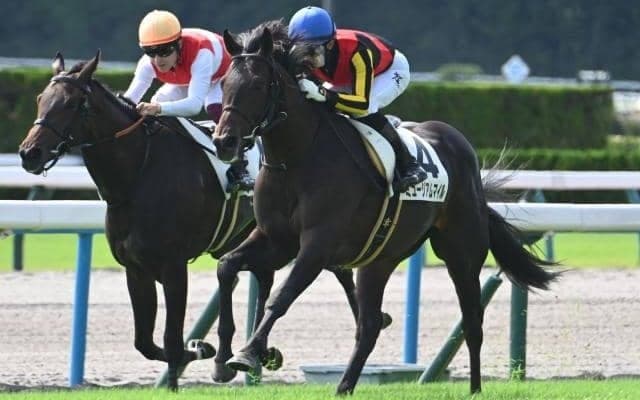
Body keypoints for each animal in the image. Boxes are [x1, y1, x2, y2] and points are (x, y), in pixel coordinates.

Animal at [18, 51, 389, 390]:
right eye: (40, 100)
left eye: (70, 104)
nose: (29, 153)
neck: (138, 174)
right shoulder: (135, 268)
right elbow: (144, 342)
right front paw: (206, 352)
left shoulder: (173, 266)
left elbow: (170, 338)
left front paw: (193, 359)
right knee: (274, 276)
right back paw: (262, 353)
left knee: (335, 271)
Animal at [211, 20, 558, 395]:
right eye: (225, 83)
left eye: (258, 85)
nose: (224, 141)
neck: (296, 158)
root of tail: (460, 146)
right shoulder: (275, 239)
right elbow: (227, 267)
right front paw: (226, 359)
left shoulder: (318, 245)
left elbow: (282, 296)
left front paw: (248, 353)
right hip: (380, 259)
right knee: (370, 325)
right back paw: (344, 387)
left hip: (460, 253)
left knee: (471, 321)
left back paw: (475, 389)